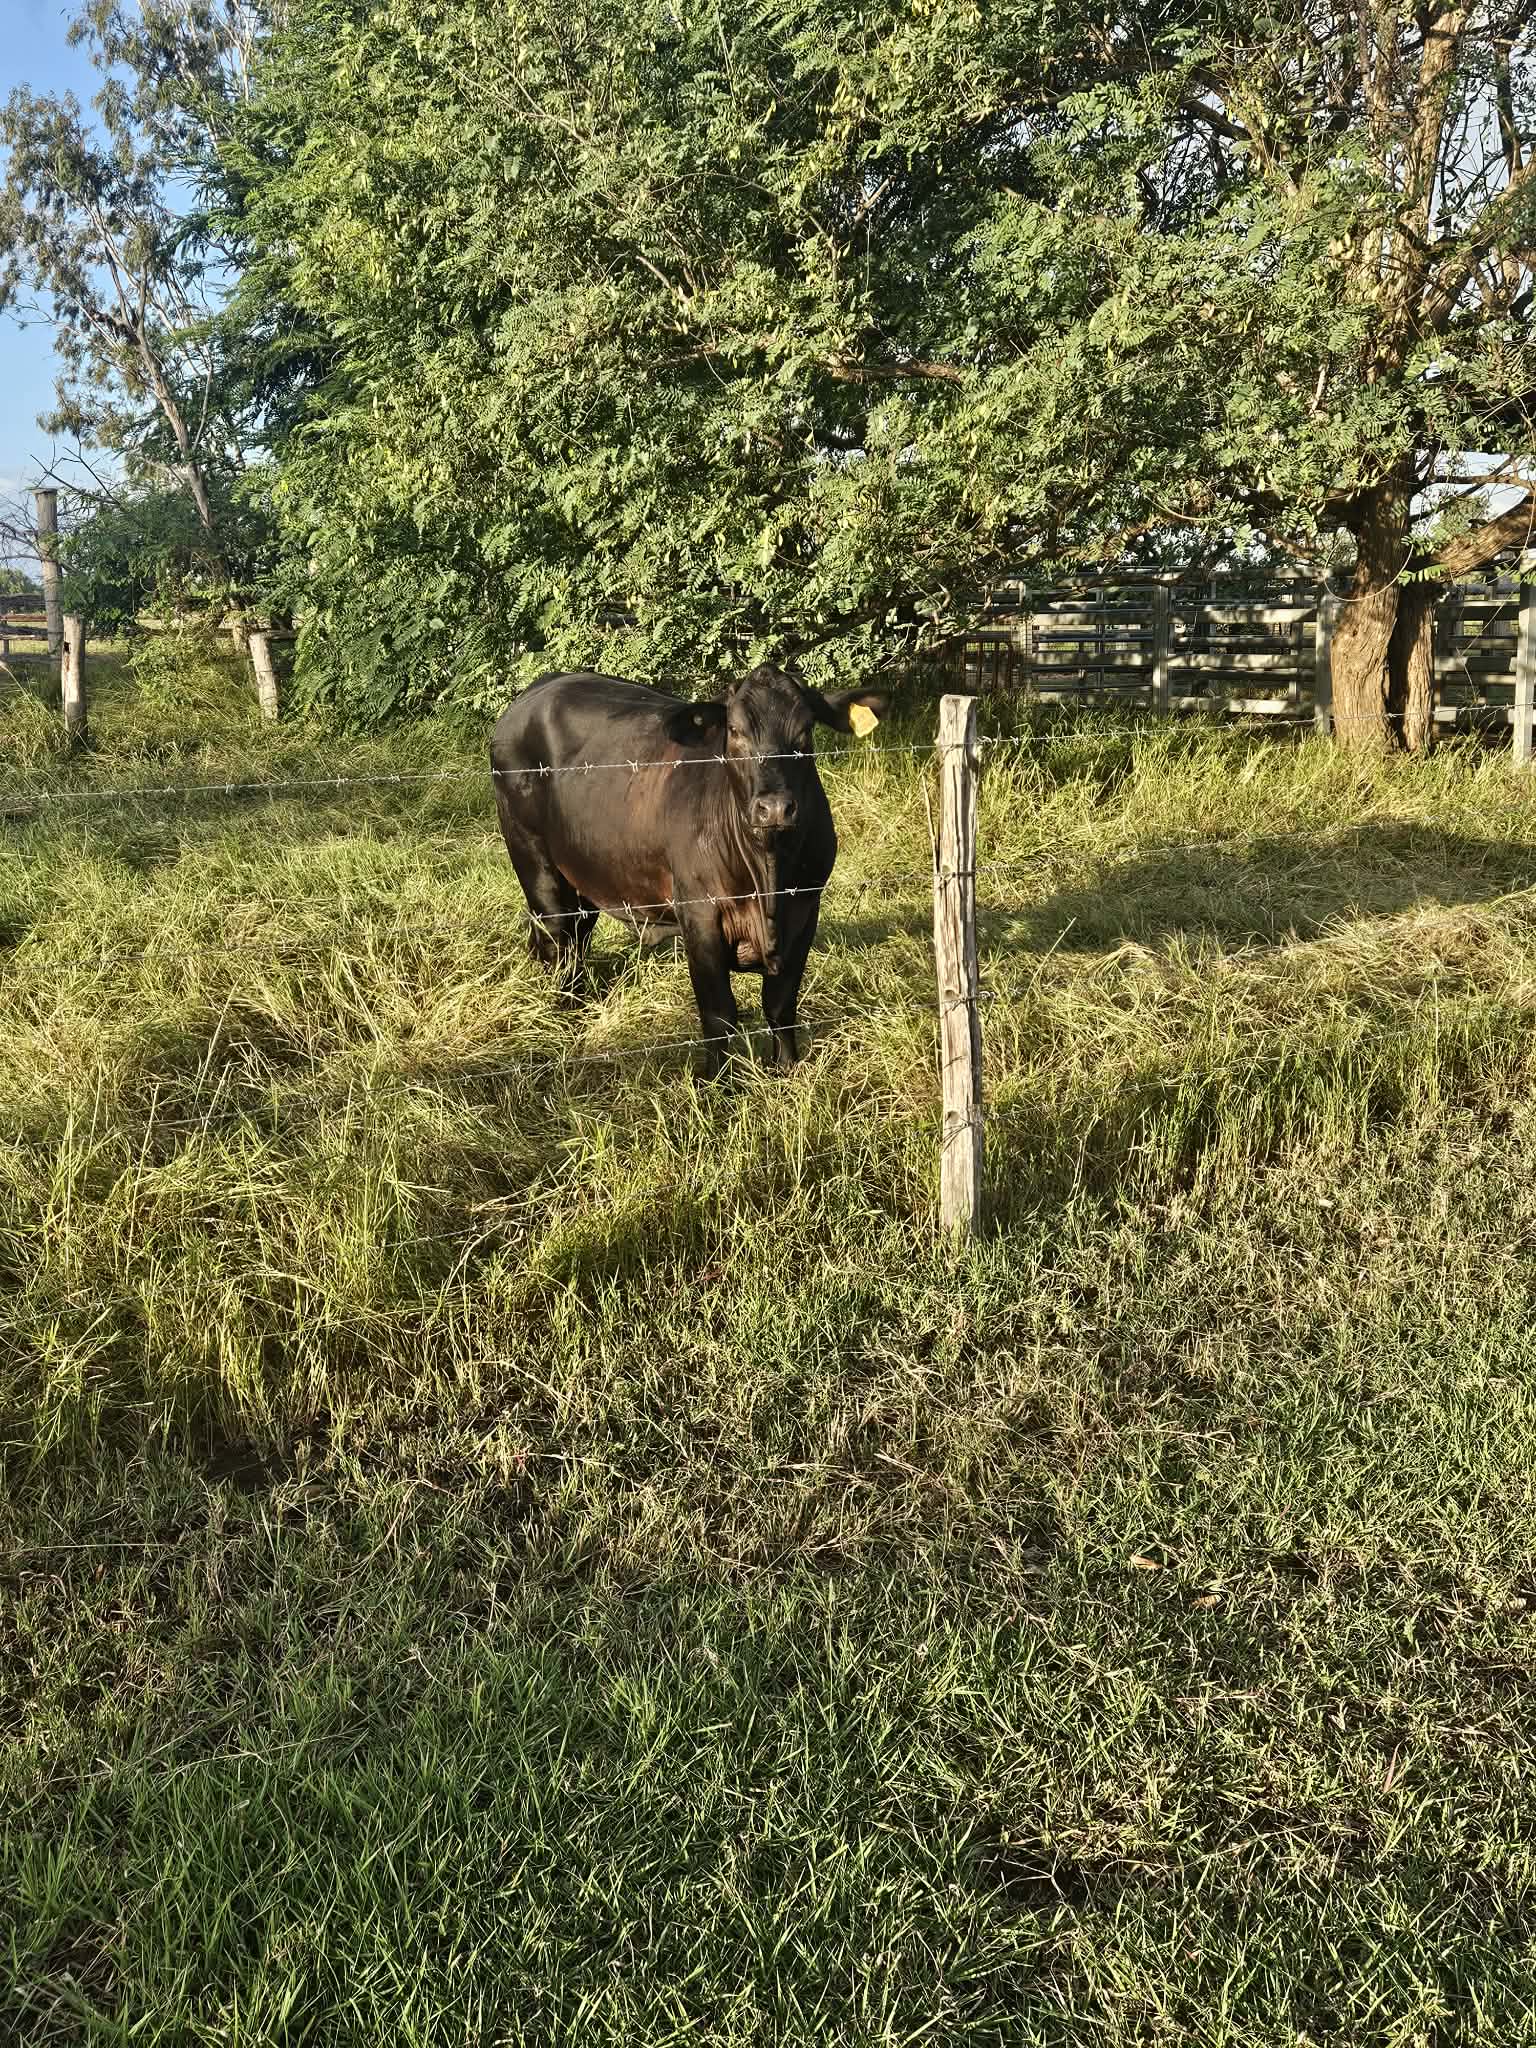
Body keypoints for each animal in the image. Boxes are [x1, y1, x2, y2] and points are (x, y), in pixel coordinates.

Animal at [490, 664, 887, 1073]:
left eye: (806, 729)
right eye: (735, 730)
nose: (774, 807)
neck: (768, 875)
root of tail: (537, 690)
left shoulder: (805, 908)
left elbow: (781, 1004)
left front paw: (787, 1068)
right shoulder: (699, 914)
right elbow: (718, 1013)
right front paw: (717, 1080)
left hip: (585, 875)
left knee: (572, 937)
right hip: (534, 859)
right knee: (557, 938)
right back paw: (566, 1018)